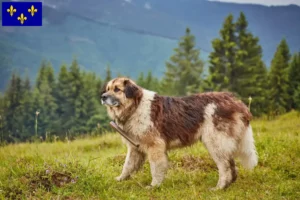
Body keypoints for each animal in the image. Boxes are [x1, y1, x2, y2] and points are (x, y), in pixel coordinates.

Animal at [101, 77, 258, 190]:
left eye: (117, 89)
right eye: (107, 89)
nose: (102, 97)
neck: (135, 106)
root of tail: (236, 101)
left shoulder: (155, 146)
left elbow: (155, 168)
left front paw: (154, 186)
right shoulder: (135, 147)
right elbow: (127, 166)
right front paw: (120, 179)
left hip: (215, 143)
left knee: (225, 167)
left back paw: (219, 188)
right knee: (232, 166)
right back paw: (227, 186)